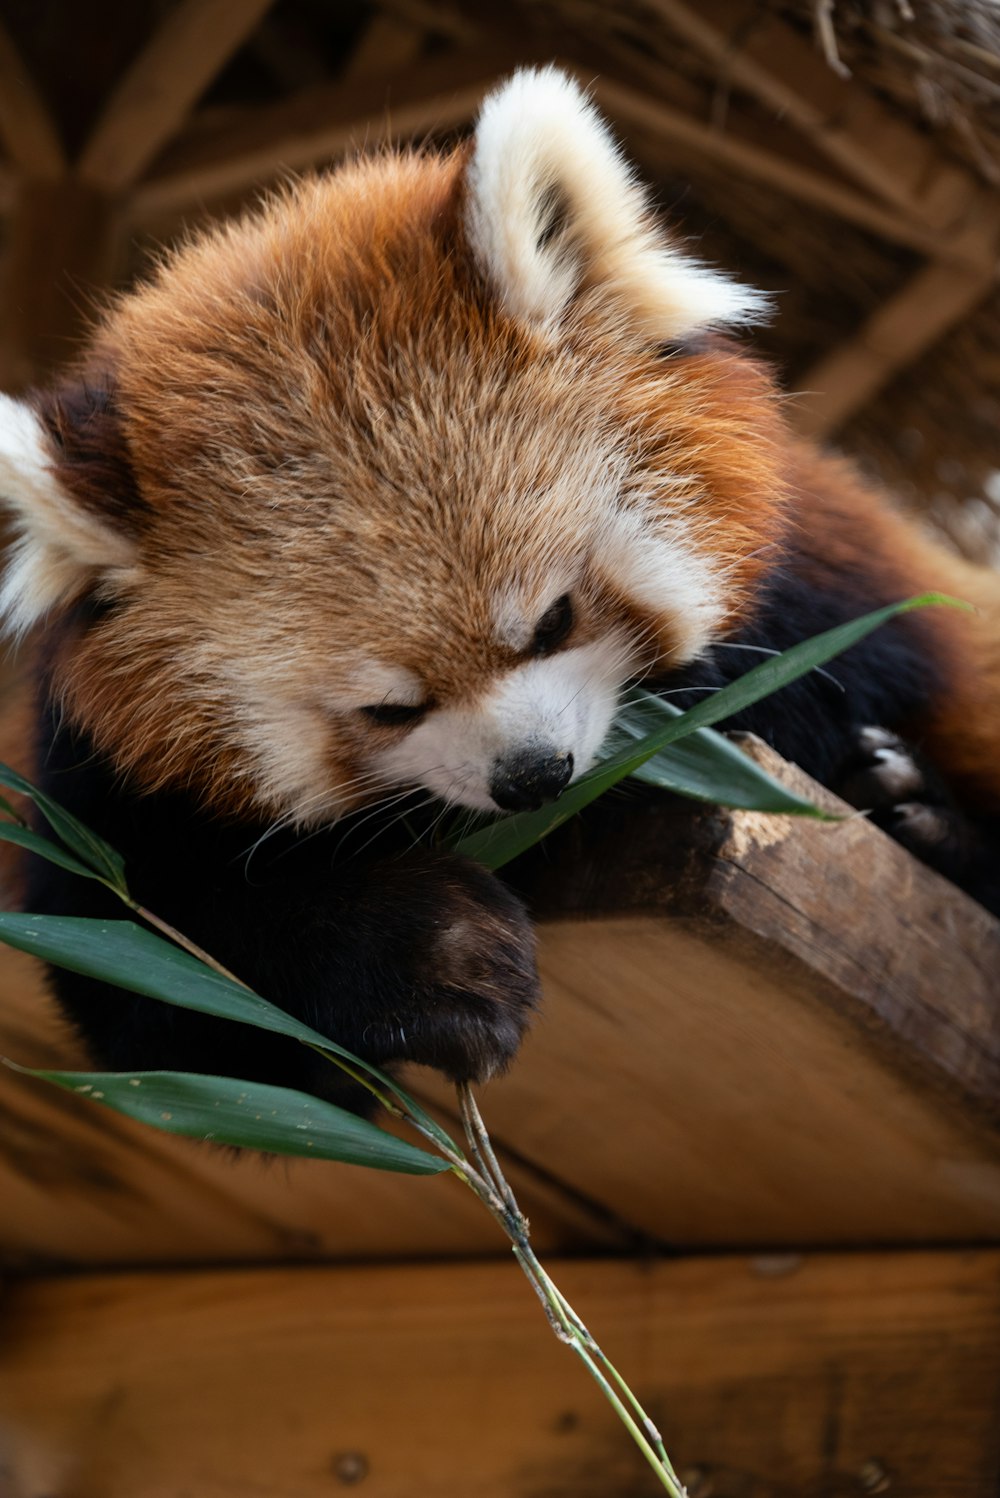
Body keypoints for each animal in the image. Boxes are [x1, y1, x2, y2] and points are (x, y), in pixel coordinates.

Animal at [1, 64, 999, 1096]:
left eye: (554, 619)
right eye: (388, 709)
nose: (532, 776)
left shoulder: (844, 607)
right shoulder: (98, 789)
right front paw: (435, 952)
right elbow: (151, 973)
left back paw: (911, 804)